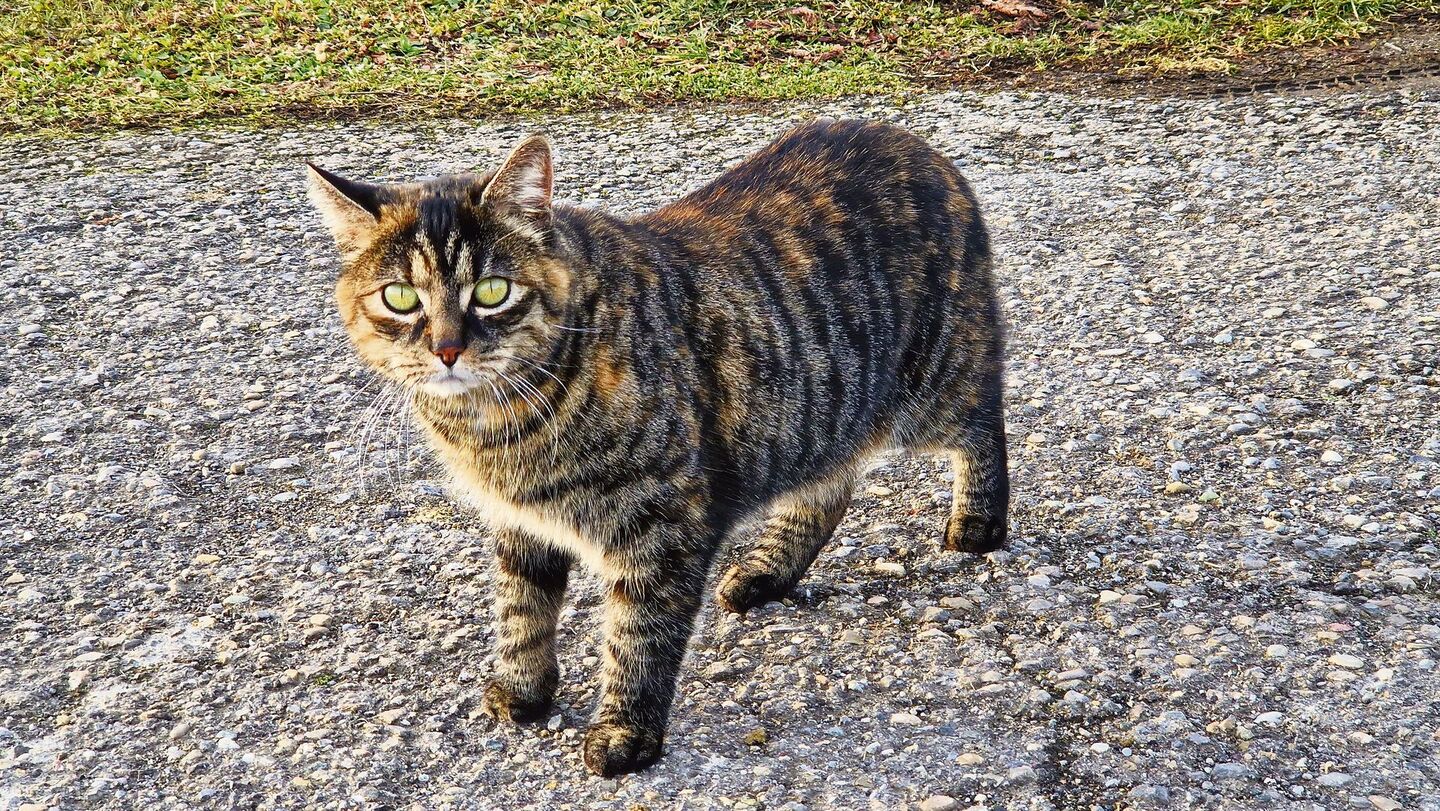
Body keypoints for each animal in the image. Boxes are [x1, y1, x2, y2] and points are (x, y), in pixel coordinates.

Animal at [307, 118, 1008, 777]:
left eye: (491, 291)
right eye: (400, 298)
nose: (446, 349)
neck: (499, 425)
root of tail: (913, 142)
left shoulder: (663, 525)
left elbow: (638, 635)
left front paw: (625, 731)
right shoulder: (519, 521)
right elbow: (521, 608)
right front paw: (523, 690)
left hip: (933, 383)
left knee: (983, 418)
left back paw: (979, 521)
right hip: (814, 416)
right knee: (829, 486)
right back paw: (766, 571)